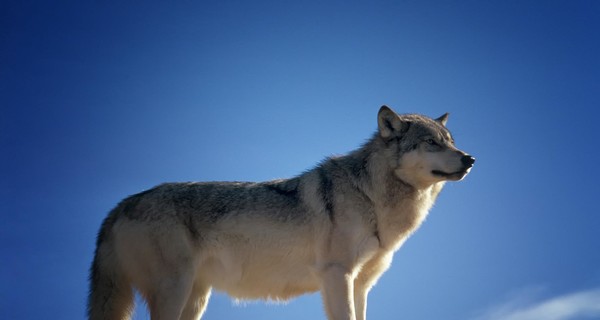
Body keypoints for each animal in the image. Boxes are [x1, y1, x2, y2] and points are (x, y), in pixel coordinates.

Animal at [88, 105, 474, 320]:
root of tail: (117, 207)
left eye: (451, 141)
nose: (470, 159)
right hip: (174, 291)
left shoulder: (362, 285)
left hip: (195, 300)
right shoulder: (337, 276)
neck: (370, 196)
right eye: (432, 143)